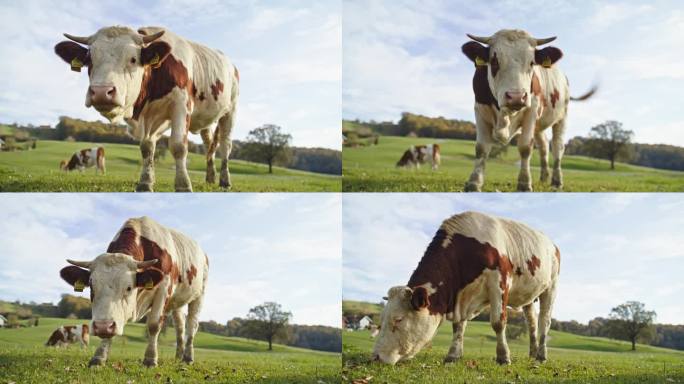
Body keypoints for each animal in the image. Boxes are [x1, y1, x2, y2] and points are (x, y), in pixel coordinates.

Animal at [51, 25, 238, 192]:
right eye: (90, 60)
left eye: (133, 59)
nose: (101, 92)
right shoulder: (149, 117)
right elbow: (147, 147)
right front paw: (146, 182)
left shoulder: (181, 105)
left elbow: (178, 146)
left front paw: (183, 185)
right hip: (206, 121)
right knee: (209, 145)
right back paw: (210, 178)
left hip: (230, 111)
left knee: (225, 146)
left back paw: (225, 181)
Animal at [58, 214, 208, 368]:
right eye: (92, 286)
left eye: (129, 287)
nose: (102, 326)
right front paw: (99, 357)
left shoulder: (164, 287)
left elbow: (154, 325)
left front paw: (150, 359)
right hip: (176, 302)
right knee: (180, 326)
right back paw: (178, 356)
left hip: (199, 294)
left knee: (192, 325)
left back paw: (187, 358)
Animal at [374, 212, 560, 364]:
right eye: (381, 319)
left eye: (398, 319)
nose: (375, 357)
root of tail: (552, 244)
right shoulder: (461, 296)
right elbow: (458, 325)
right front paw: (453, 355)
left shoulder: (499, 281)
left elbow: (498, 322)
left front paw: (503, 357)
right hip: (529, 296)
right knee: (532, 322)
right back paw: (533, 353)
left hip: (551, 286)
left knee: (544, 320)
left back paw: (541, 356)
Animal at [462, 28, 596, 192]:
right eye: (494, 61)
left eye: (532, 63)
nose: (516, 97)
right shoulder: (479, 110)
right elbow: (481, 147)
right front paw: (474, 182)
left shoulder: (531, 110)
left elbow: (525, 147)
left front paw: (524, 183)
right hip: (539, 125)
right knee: (544, 146)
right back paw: (544, 178)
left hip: (562, 116)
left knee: (557, 147)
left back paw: (556, 181)